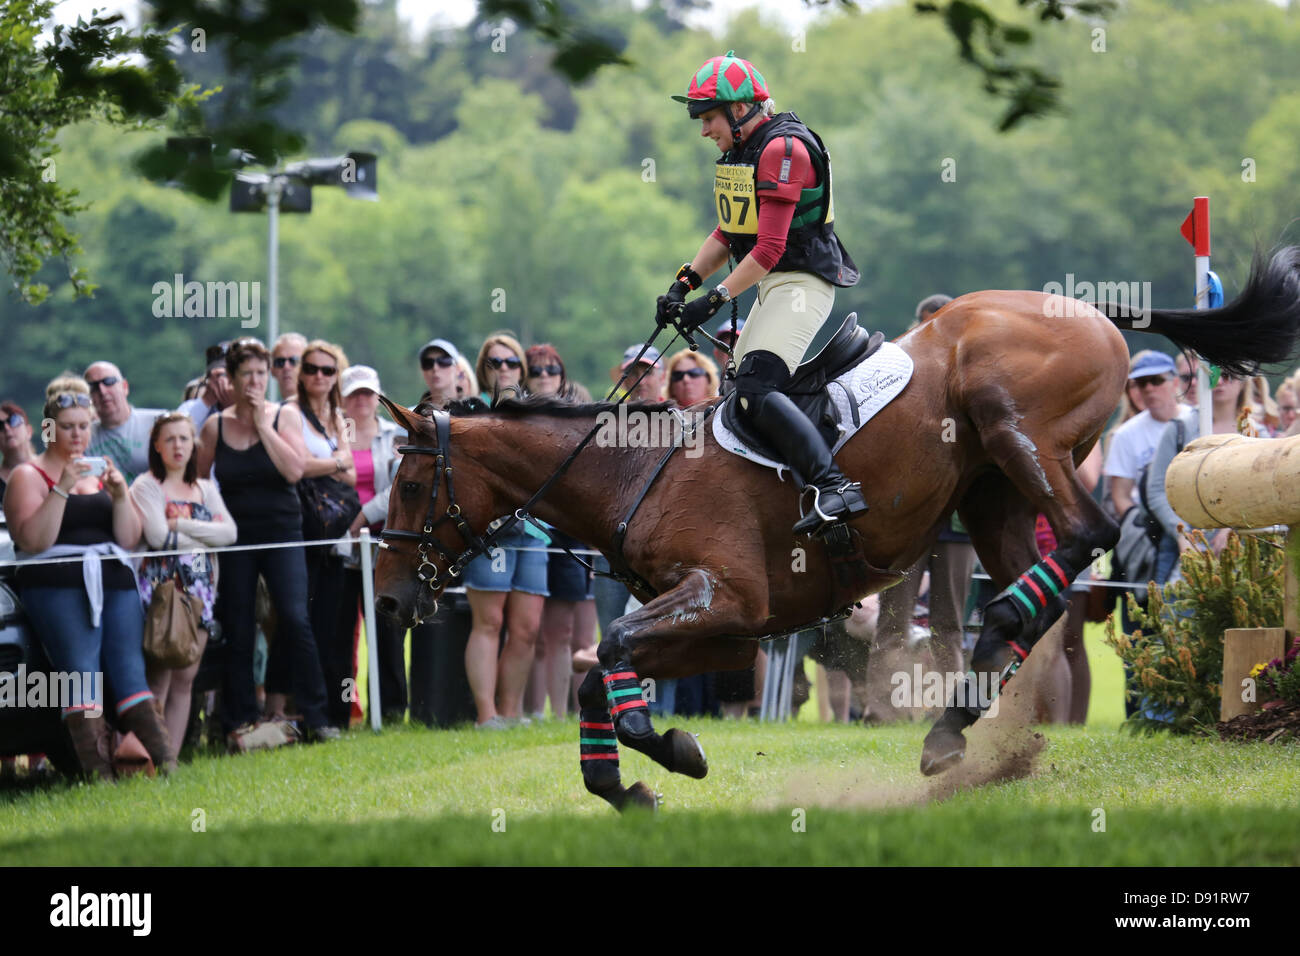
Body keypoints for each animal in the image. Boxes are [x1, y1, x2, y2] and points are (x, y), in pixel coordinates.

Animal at [371, 248, 1300, 816]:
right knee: (1039, 592)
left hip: (1013, 429)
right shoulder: (718, 631)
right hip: (990, 490)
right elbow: (603, 674)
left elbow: (617, 662)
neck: (633, 471)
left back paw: (960, 699)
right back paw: (955, 722)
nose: (385, 601)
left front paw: (671, 749)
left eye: (411, 483)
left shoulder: (725, 598)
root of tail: (1091, 309)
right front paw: (625, 786)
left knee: (1083, 537)